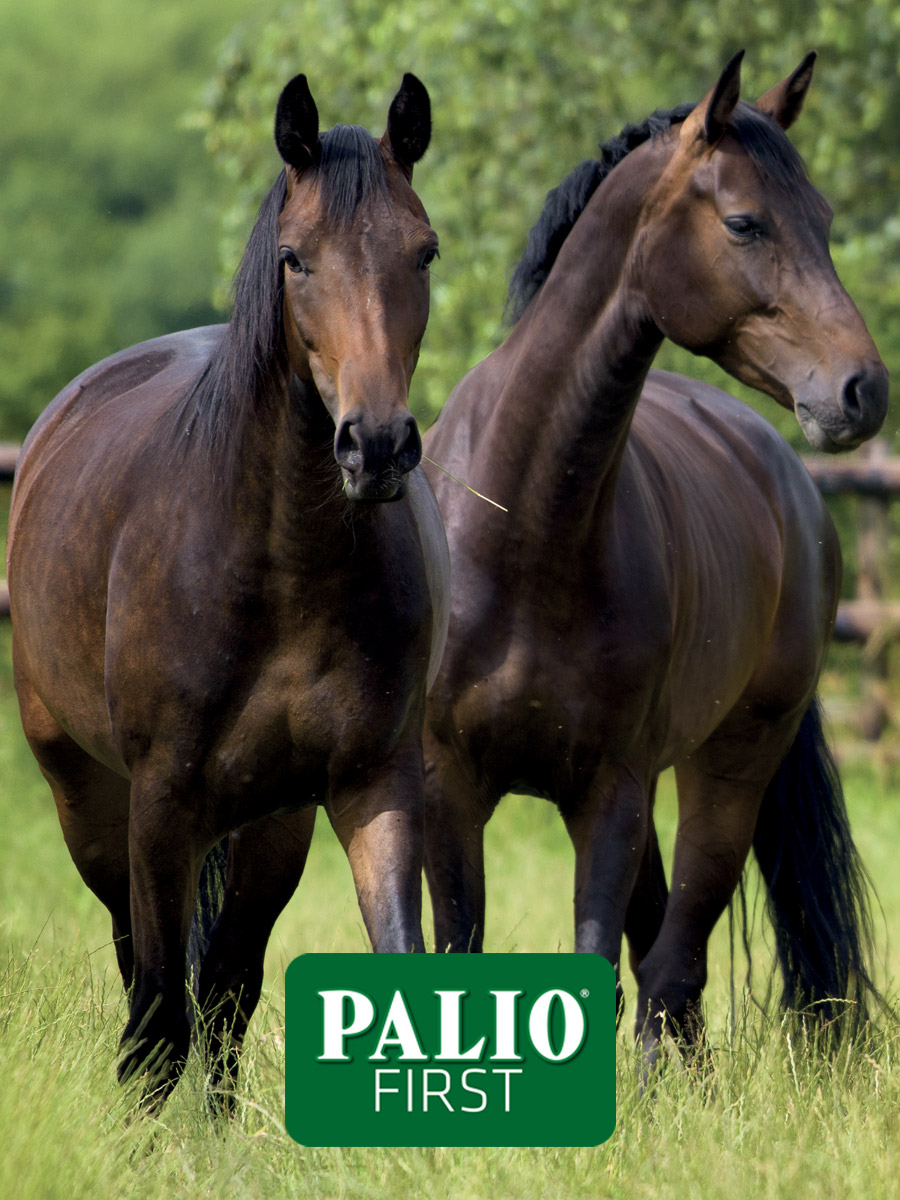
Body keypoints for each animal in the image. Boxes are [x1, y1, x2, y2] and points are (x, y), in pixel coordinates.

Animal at [7, 72, 450, 1106]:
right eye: (295, 258)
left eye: (424, 250)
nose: (376, 445)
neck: (282, 567)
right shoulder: (161, 804)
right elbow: (157, 1011)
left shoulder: (371, 785)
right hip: (87, 800)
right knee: (147, 971)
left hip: (270, 827)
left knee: (228, 990)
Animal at [421, 52, 888, 1057]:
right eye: (746, 222)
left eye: (826, 220)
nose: (861, 391)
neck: (527, 528)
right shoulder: (450, 788)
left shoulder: (612, 790)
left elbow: (601, 965)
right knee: (663, 953)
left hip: (727, 770)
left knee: (675, 962)